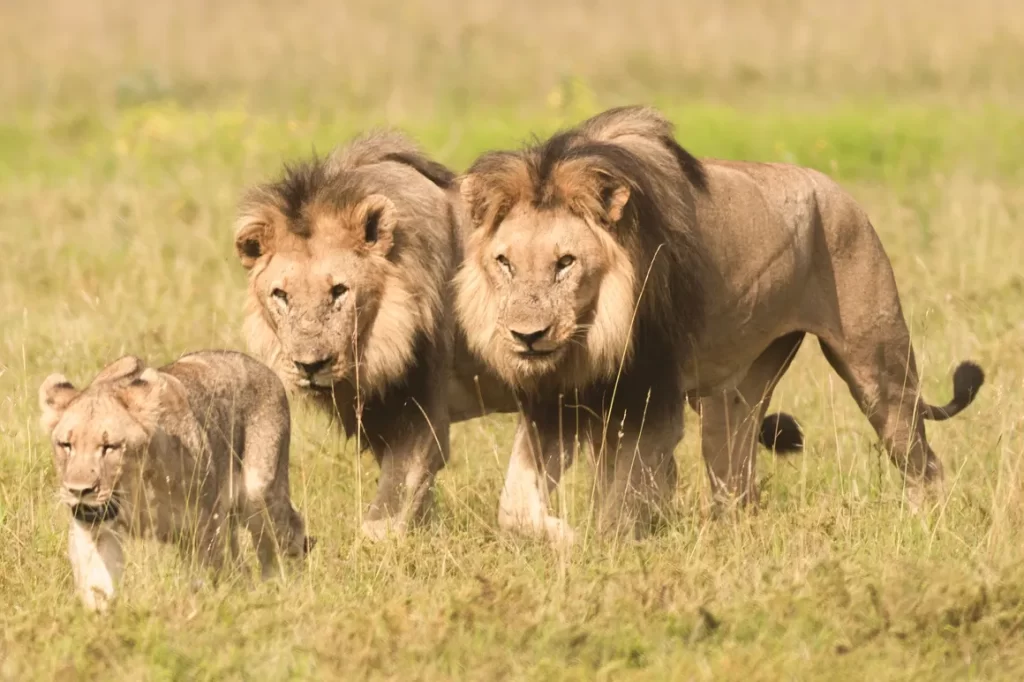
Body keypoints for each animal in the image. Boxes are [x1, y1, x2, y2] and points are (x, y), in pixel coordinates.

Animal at [38, 350, 311, 610]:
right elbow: (98, 582)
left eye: (109, 447)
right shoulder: (94, 528)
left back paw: (281, 587)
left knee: (285, 533)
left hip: (259, 491)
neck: (135, 489)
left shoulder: (205, 524)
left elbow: (206, 574)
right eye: (66, 445)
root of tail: (265, 370)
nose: (79, 490)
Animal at [458, 104, 983, 540]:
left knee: (920, 459)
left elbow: (623, 500)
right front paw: (565, 537)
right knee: (737, 480)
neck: (594, 332)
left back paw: (923, 524)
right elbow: (514, 506)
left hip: (879, 369)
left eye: (565, 262)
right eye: (505, 263)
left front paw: (603, 545)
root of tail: (842, 195)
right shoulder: (557, 401)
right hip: (733, 399)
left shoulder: (651, 398)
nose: (527, 336)